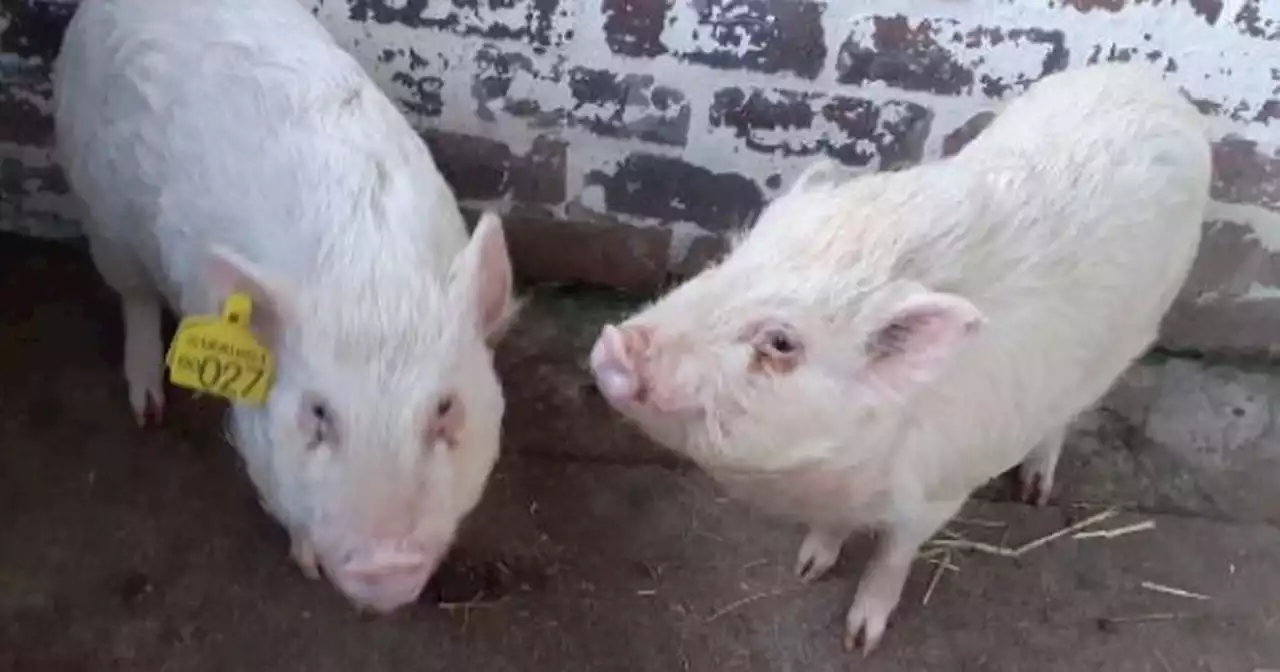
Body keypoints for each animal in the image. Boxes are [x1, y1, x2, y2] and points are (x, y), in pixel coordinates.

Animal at [53, 0, 514, 611]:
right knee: (134, 296)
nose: (386, 567)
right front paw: (309, 567)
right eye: (318, 412)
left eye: (444, 407)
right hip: (102, 213)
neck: (369, 279)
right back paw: (148, 410)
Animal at [588, 61, 1208, 650]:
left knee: (1065, 416)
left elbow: (894, 554)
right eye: (729, 260)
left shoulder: (942, 488)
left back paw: (1034, 493)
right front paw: (807, 568)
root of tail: (1158, 85)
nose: (612, 342)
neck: (845, 467)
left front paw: (859, 639)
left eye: (782, 342)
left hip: (1134, 332)